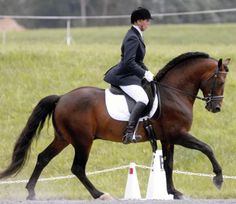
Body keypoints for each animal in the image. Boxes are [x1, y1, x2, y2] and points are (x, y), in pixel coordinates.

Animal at [0, 51, 230, 199]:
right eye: (219, 81)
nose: (216, 108)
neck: (173, 93)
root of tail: (62, 97)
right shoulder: (178, 135)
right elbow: (206, 148)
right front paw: (218, 179)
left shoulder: (168, 138)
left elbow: (169, 164)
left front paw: (174, 192)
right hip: (83, 140)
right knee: (77, 168)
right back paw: (100, 194)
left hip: (63, 138)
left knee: (43, 158)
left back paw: (31, 192)